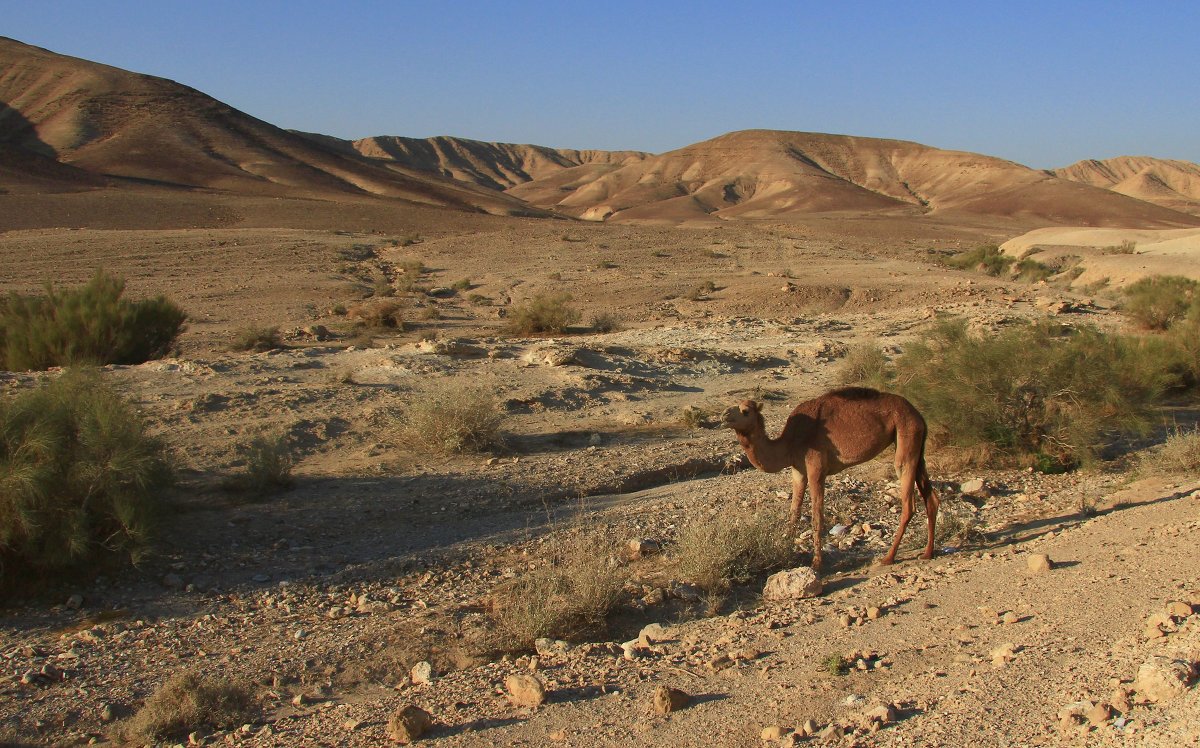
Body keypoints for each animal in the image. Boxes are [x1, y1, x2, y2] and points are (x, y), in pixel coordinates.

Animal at [720, 386, 936, 573]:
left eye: (745, 411)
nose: (724, 415)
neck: (789, 442)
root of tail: (918, 415)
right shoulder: (798, 471)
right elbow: (794, 513)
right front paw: (785, 552)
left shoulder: (816, 469)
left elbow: (817, 517)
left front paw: (816, 563)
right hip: (916, 447)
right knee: (931, 498)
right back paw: (927, 553)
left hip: (905, 436)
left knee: (909, 502)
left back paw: (888, 557)